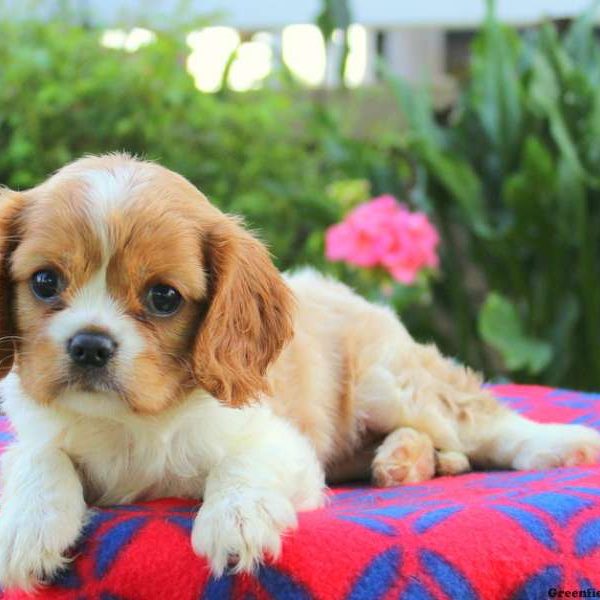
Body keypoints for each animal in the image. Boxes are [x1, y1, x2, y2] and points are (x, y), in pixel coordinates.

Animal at [0, 152, 596, 588]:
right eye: (46, 282)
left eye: (163, 297)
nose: (89, 346)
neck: (130, 420)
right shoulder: (35, 433)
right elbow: (37, 458)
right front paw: (26, 525)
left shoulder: (278, 439)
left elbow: (241, 463)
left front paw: (236, 520)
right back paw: (402, 460)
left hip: (389, 383)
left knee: (484, 422)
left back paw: (560, 444)